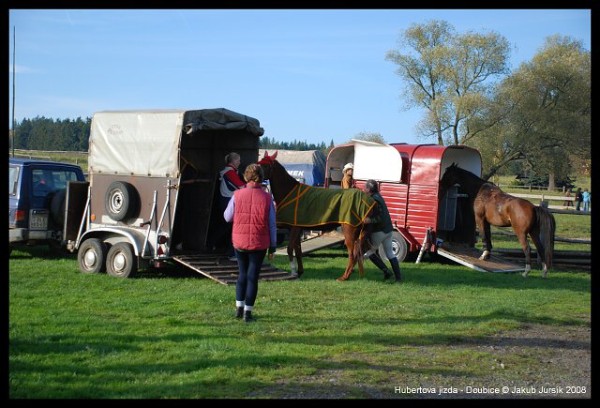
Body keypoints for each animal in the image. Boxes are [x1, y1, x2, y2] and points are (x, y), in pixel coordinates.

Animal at [258, 151, 376, 282]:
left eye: (266, 165)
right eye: (259, 162)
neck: (289, 192)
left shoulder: (294, 228)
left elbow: (290, 249)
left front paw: (293, 272)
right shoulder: (298, 229)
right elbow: (298, 251)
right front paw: (299, 272)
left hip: (349, 231)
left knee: (352, 254)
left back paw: (344, 277)